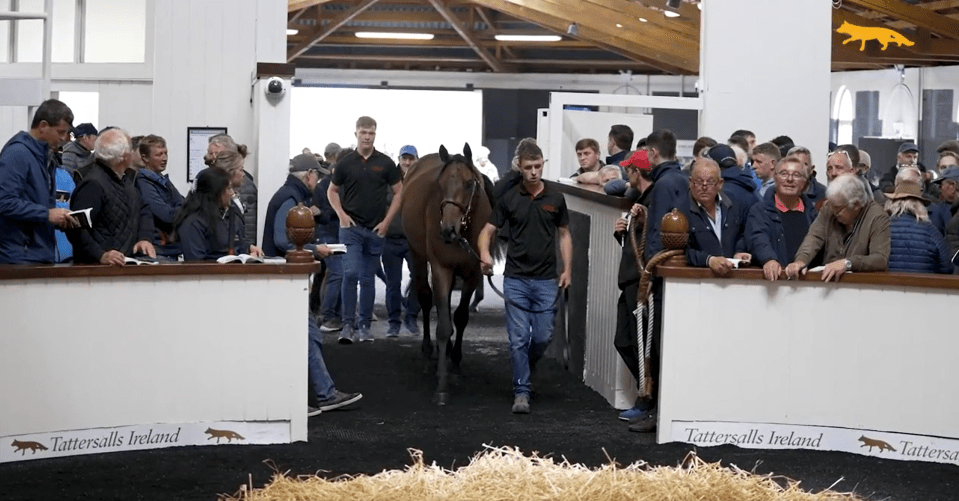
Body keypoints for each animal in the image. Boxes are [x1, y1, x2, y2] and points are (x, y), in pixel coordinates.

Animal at [402, 143, 498, 404]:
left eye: (469, 183)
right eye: (441, 183)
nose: (448, 230)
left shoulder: (474, 273)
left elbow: (461, 317)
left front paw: (454, 362)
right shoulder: (441, 269)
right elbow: (444, 325)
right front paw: (442, 384)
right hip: (416, 254)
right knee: (426, 298)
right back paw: (428, 352)